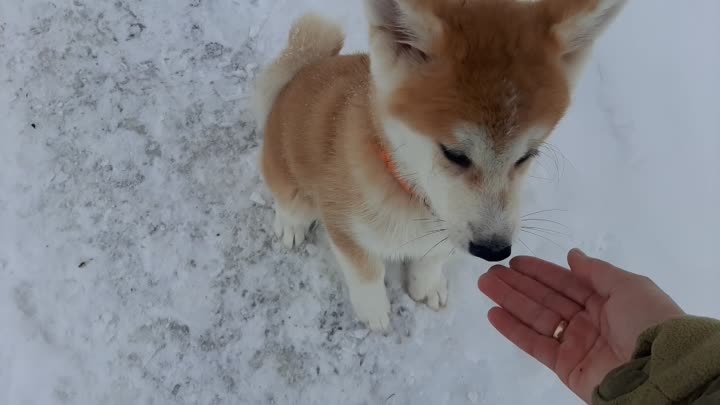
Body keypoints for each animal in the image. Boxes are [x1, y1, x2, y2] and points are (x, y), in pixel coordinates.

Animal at [256, 0, 628, 328]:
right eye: (455, 154)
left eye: (527, 156)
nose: (494, 251)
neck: (406, 190)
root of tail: (300, 74)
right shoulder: (345, 229)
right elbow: (367, 274)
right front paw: (374, 311)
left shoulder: (448, 228)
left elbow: (431, 257)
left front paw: (426, 285)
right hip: (289, 180)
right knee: (288, 202)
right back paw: (290, 225)